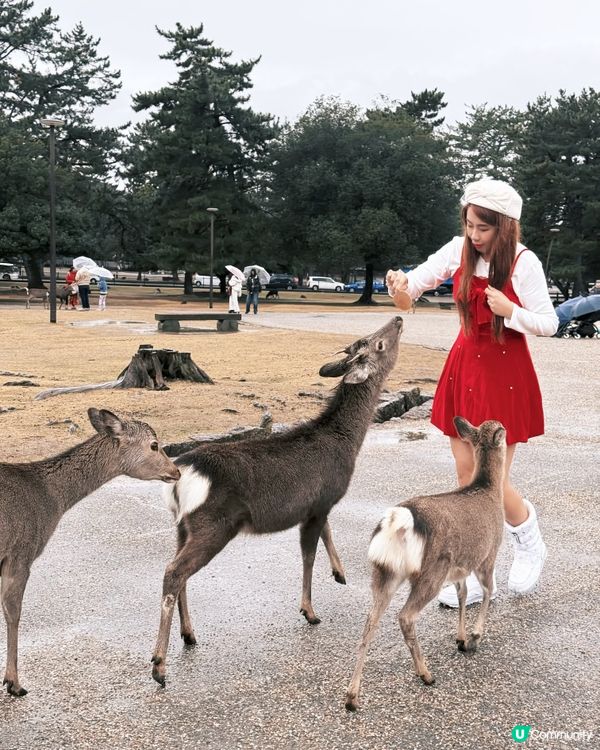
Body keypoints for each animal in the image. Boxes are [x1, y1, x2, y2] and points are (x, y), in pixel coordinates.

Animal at [0, 408, 180, 697]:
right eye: (154, 445)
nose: (176, 471)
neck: (49, 499)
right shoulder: (22, 551)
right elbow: (13, 612)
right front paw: (14, 683)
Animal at [150, 315, 404, 686]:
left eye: (367, 339)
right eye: (379, 343)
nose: (398, 319)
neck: (345, 444)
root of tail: (182, 476)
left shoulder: (317, 504)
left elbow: (327, 534)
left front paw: (340, 574)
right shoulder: (321, 500)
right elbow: (308, 555)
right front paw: (310, 611)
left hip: (182, 525)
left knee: (177, 569)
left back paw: (189, 634)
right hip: (214, 524)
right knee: (173, 571)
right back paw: (159, 665)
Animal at [345, 417, 506, 711]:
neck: (489, 491)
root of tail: (397, 521)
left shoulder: (460, 567)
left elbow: (463, 594)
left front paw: (460, 638)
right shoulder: (487, 553)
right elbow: (488, 590)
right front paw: (474, 638)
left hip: (386, 571)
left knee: (370, 621)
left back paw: (352, 697)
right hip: (431, 570)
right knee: (406, 616)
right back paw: (425, 674)